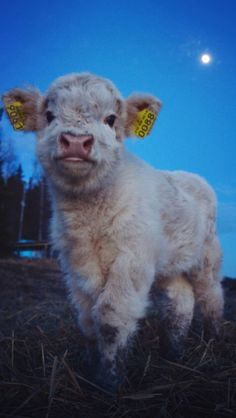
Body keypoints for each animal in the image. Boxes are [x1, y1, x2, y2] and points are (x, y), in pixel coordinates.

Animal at [3, 73, 223, 390]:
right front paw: (93, 373)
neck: (91, 217)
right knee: (180, 301)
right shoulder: (76, 262)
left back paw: (214, 343)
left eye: (110, 119)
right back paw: (173, 352)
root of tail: (190, 176)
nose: (76, 141)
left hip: (207, 256)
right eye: (49, 115)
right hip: (170, 264)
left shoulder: (132, 258)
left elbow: (110, 317)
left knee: (212, 298)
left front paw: (109, 382)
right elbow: (88, 320)